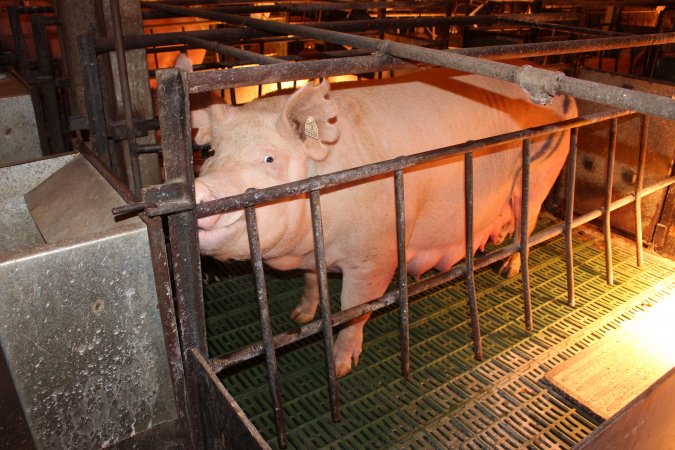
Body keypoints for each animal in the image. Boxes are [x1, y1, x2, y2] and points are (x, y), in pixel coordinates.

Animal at [181, 57, 580, 380]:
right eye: (211, 152)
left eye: (269, 158)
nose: (202, 191)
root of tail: (568, 97)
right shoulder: (313, 257)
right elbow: (311, 284)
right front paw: (300, 317)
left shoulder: (377, 256)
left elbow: (353, 309)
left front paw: (341, 367)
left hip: (541, 172)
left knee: (529, 221)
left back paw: (506, 269)